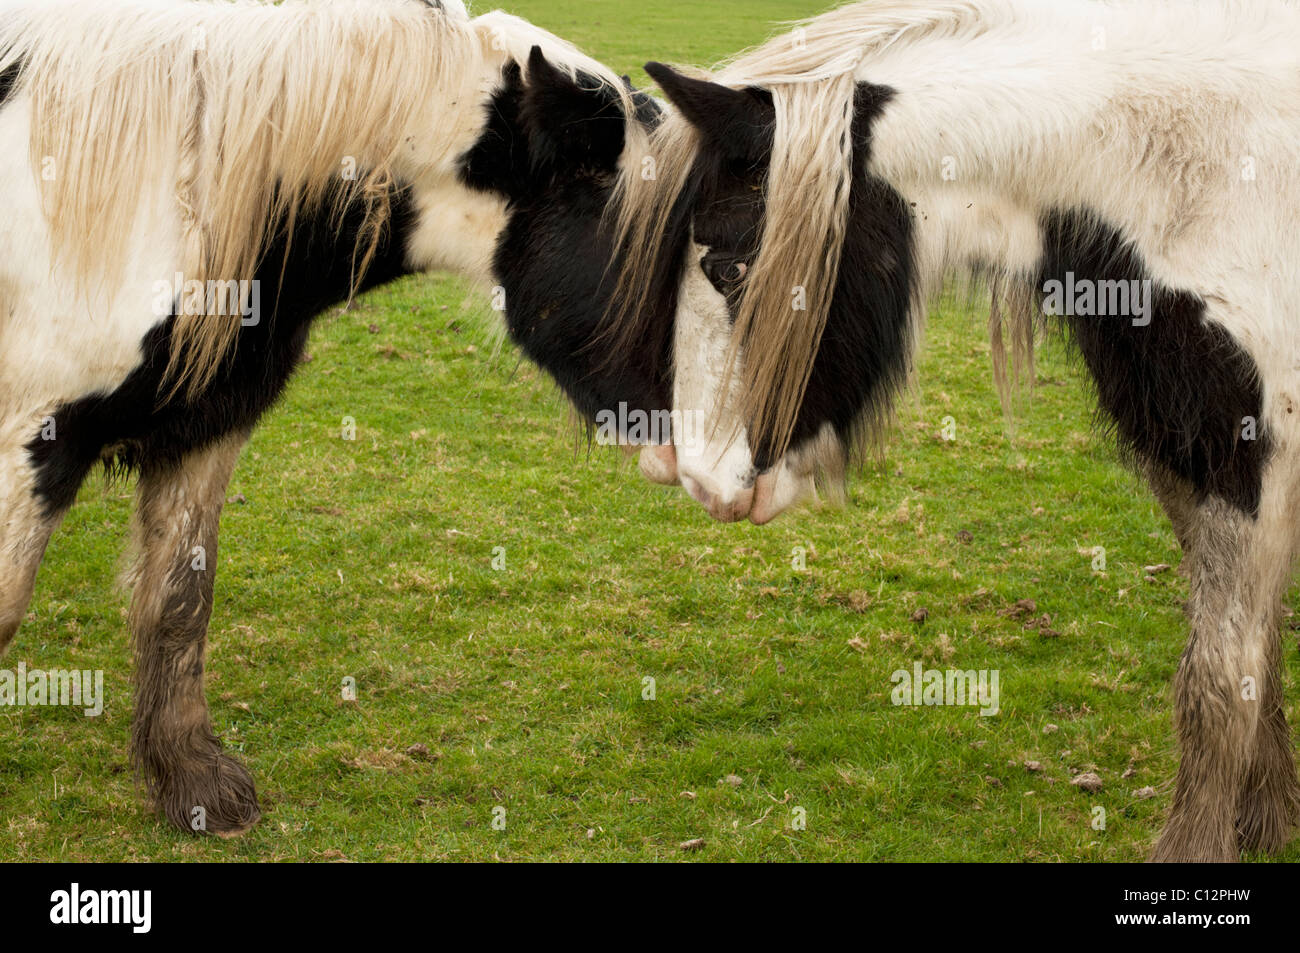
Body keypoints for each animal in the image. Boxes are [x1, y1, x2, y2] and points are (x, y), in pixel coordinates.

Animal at [612, 0, 1300, 862]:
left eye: (731, 267)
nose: (697, 478)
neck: (1219, 173)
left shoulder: (1250, 462)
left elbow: (1215, 678)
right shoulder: (1188, 456)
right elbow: (1253, 652)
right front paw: (1269, 818)